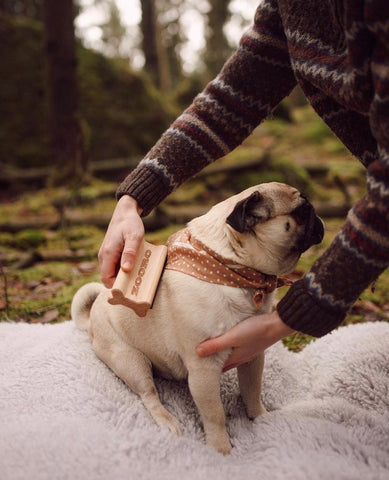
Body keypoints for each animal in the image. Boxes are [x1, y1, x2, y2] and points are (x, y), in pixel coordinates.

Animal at [71, 183, 322, 454]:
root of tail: (92, 318)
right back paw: (168, 421)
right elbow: (215, 415)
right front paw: (221, 450)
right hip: (130, 360)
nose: (318, 218)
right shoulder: (204, 369)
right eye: (303, 211)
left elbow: (252, 391)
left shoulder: (253, 354)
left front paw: (262, 419)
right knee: (148, 394)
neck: (232, 268)